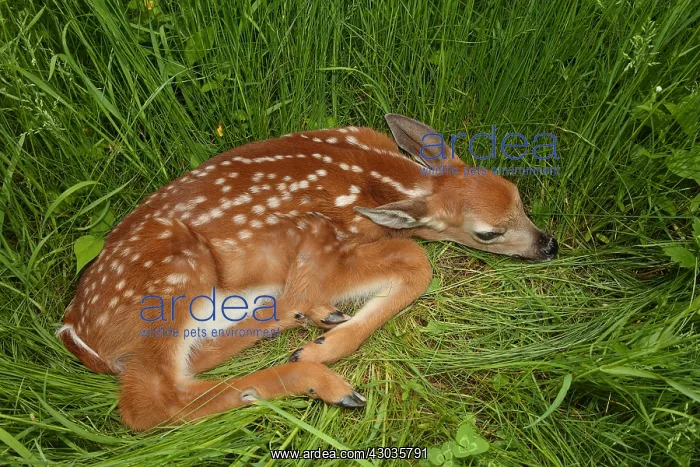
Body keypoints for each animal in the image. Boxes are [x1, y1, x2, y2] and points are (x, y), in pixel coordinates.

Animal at [58, 114, 558, 431]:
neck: (381, 179)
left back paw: (307, 324)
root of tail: (75, 333)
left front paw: (323, 330)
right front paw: (324, 348)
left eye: (517, 194)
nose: (549, 244)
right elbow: (418, 261)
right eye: (488, 233)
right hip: (173, 277)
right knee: (153, 405)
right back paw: (322, 379)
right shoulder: (321, 236)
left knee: (195, 361)